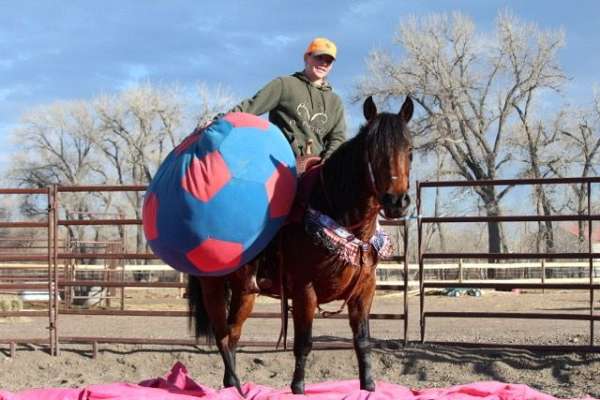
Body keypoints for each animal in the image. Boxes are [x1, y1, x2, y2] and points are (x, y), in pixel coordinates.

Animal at [188, 95, 412, 396]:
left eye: (410, 149)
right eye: (371, 150)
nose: (397, 202)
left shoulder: (365, 291)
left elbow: (362, 342)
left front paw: (369, 387)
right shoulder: (305, 291)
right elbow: (304, 343)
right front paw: (298, 387)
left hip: (245, 291)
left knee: (233, 333)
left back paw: (232, 386)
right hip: (212, 286)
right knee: (222, 334)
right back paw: (235, 386)